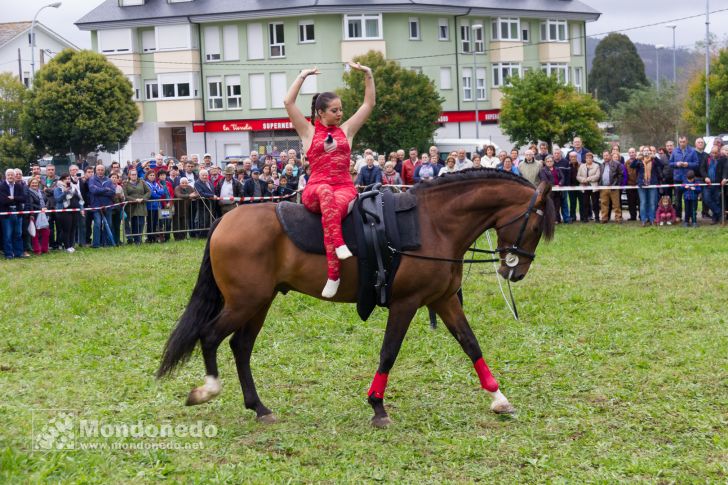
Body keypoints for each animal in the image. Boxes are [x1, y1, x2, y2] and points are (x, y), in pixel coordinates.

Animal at [158, 168, 552, 426]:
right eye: (534, 226)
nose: (515, 272)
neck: (433, 223)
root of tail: (224, 221)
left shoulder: (443, 300)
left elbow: (471, 344)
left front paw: (499, 399)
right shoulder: (406, 303)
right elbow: (389, 352)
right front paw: (377, 406)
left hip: (258, 303)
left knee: (240, 347)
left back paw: (258, 407)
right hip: (245, 302)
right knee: (210, 336)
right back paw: (208, 390)